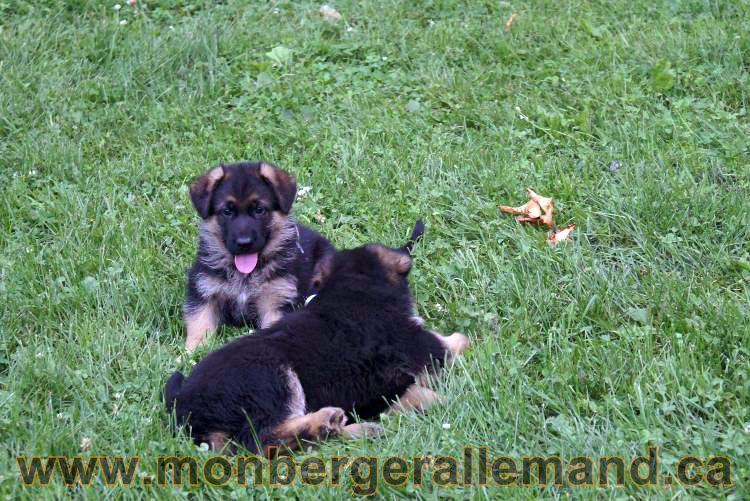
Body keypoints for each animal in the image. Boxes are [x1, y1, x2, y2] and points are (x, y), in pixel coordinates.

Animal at [165, 230, 470, 454]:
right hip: (273, 376)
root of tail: (182, 406)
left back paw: (356, 428)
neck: (353, 289)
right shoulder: (425, 347)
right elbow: (461, 340)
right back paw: (324, 422)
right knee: (262, 440)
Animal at [182, 160, 334, 352]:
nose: (244, 243)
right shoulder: (203, 291)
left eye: (259, 210)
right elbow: (199, 323)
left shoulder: (275, 301)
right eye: (227, 211)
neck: (245, 274)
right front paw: (189, 353)